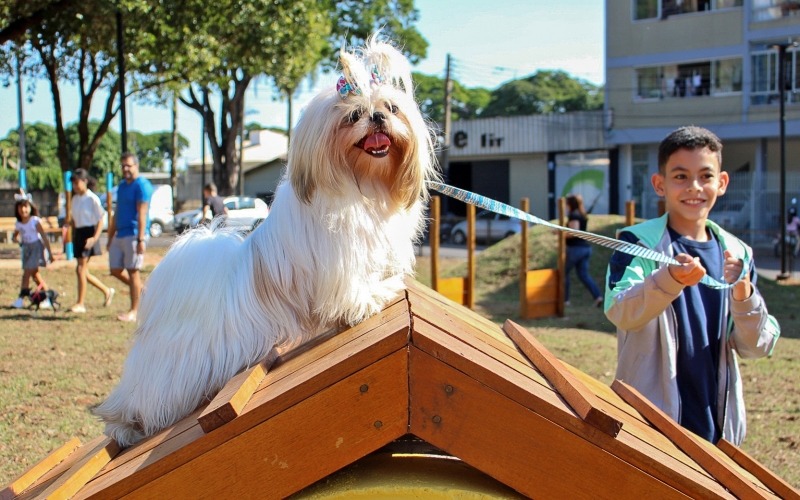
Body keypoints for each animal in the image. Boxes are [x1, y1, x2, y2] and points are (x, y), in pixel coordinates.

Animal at [97, 37, 440, 448]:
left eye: (391, 108)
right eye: (354, 115)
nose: (377, 118)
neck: (365, 183)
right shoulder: (342, 265)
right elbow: (354, 292)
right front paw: (376, 296)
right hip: (173, 367)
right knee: (140, 398)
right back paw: (125, 426)